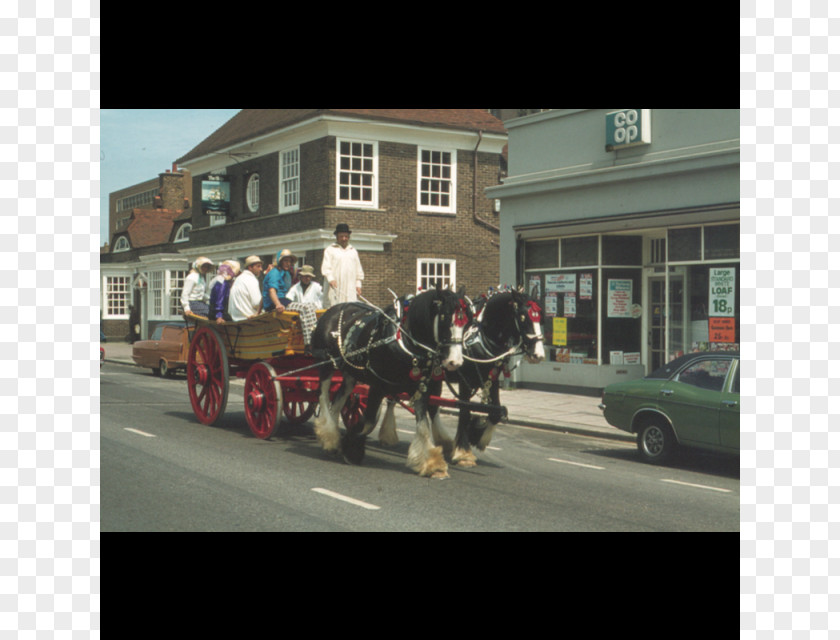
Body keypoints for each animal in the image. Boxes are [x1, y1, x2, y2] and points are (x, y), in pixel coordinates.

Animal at [310, 288, 470, 478]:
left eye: (466, 323)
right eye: (445, 318)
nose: (455, 362)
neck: (405, 342)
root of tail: (331, 311)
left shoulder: (420, 389)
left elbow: (423, 425)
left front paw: (433, 465)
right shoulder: (378, 385)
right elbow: (369, 421)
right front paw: (352, 449)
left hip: (350, 374)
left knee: (337, 402)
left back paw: (332, 440)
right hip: (326, 365)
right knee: (323, 396)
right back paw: (329, 437)